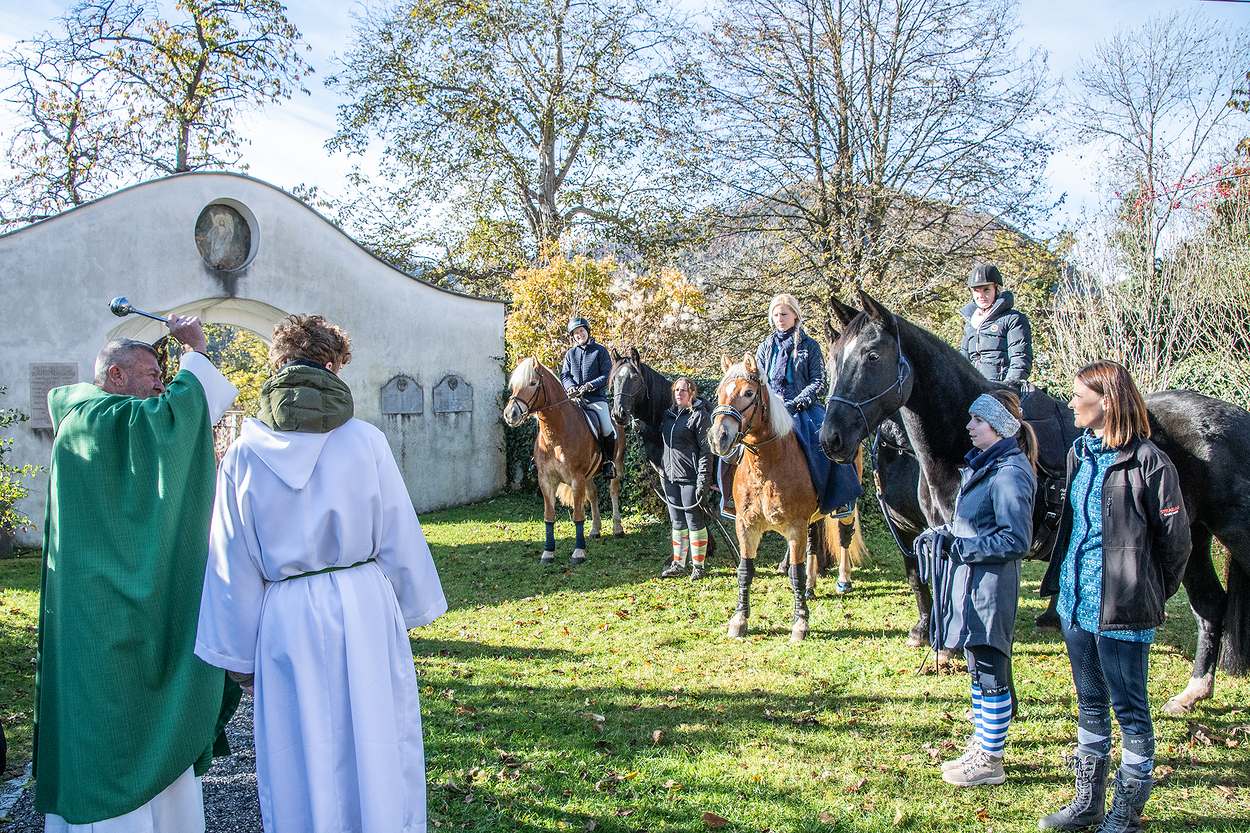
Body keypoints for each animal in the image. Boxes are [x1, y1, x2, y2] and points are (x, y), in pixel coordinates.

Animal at [502, 357, 625, 564]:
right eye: (514, 385)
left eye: (532, 383)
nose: (510, 414)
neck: (556, 434)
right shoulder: (545, 480)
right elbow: (549, 516)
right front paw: (548, 552)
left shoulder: (576, 478)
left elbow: (577, 515)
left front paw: (578, 552)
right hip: (588, 475)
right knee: (593, 495)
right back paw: (595, 530)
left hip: (617, 465)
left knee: (613, 492)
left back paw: (617, 529)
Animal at [708, 353, 856, 641]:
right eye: (720, 392)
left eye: (748, 392)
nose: (719, 438)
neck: (767, 464)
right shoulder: (746, 525)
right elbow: (745, 571)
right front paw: (740, 619)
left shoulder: (795, 525)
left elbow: (794, 573)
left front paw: (801, 622)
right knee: (813, 543)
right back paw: (812, 585)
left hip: (848, 507)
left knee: (845, 536)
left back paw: (843, 580)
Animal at [818, 289, 1250, 715]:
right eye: (834, 359)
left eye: (873, 356)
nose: (831, 438)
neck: (965, 447)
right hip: (1190, 537)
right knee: (1211, 607)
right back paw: (1194, 693)